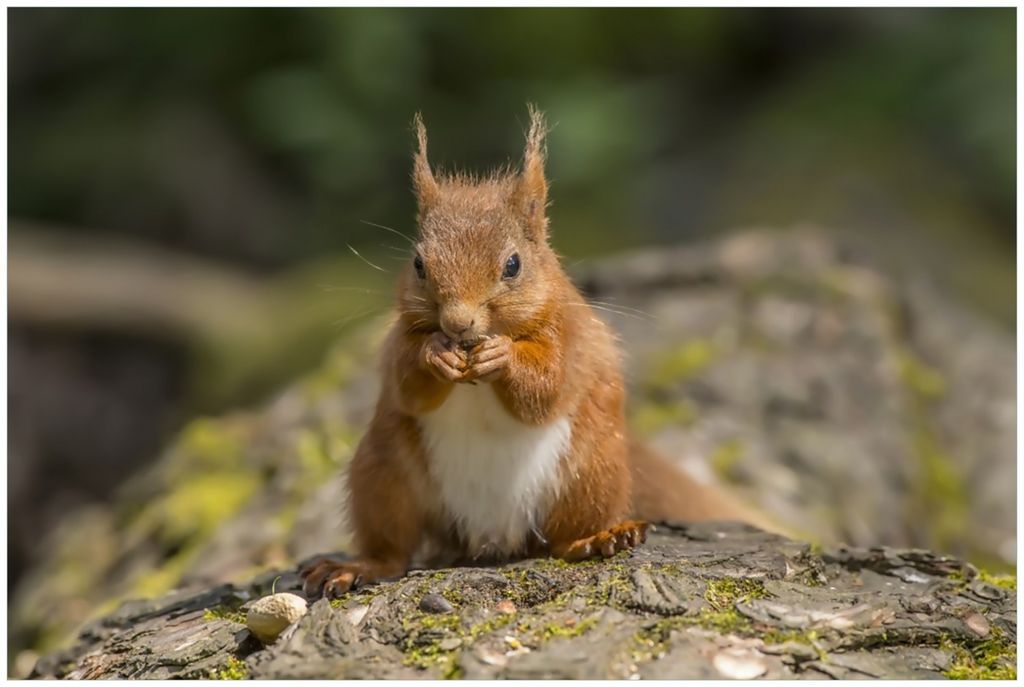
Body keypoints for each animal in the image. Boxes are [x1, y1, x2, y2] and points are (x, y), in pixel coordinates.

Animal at [301, 107, 771, 599]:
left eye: (513, 265)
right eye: (418, 265)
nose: (458, 324)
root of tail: (490, 537)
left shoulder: (568, 338)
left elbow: (546, 388)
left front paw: (503, 357)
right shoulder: (397, 342)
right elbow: (408, 384)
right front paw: (436, 354)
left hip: (591, 472)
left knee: (563, 539)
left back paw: (599, 538)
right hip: (382, 473)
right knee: (393, 548)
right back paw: (357, 566)